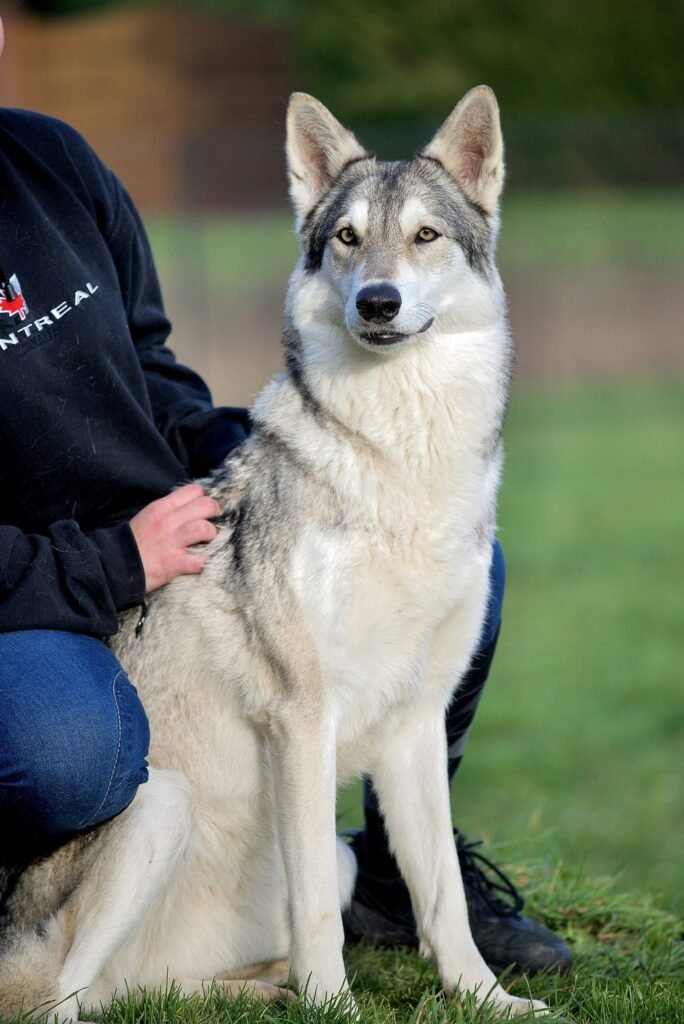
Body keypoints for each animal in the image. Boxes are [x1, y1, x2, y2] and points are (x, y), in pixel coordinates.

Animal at [0, 86, 547, 1021]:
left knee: (147, 993)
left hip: (325, 858)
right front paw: (336, 1009)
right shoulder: (303, 716)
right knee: (57, 1002)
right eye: (348, 238)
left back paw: (259, 993)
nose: (377, 303)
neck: (400, 463)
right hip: (163, 802)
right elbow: (317, 912)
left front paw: (487, 999)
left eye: (425, 236)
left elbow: (440, 897)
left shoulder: (415, 723)